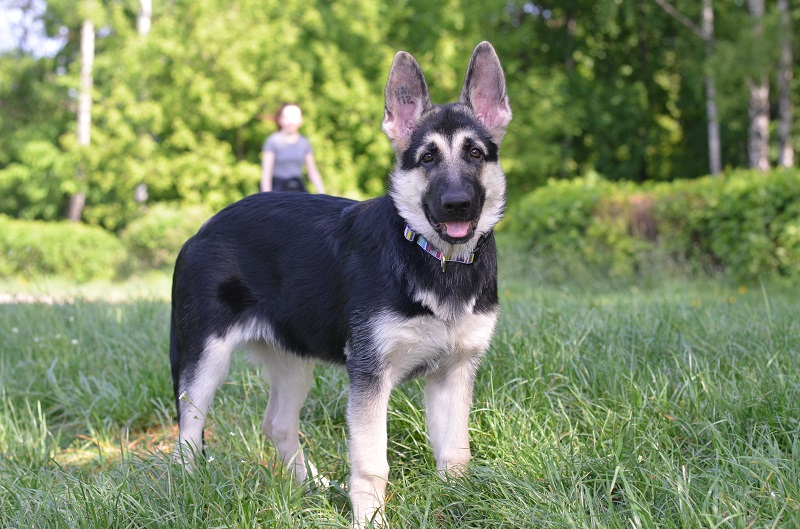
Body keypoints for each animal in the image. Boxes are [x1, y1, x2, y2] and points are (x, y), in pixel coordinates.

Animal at [170, 40, 512, 524]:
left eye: (476, 155)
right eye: (427, 158)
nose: (457, 204)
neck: (436, 260)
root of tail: (201, 230)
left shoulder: (455, 371)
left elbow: (454, 451)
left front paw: (457, 501)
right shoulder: (369, 376)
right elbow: (371, 461)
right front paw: (369, 519)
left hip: (294, 358)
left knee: (277, 423)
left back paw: (309, 484)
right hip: (205, 358)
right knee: (188, 429)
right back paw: (189, 491)